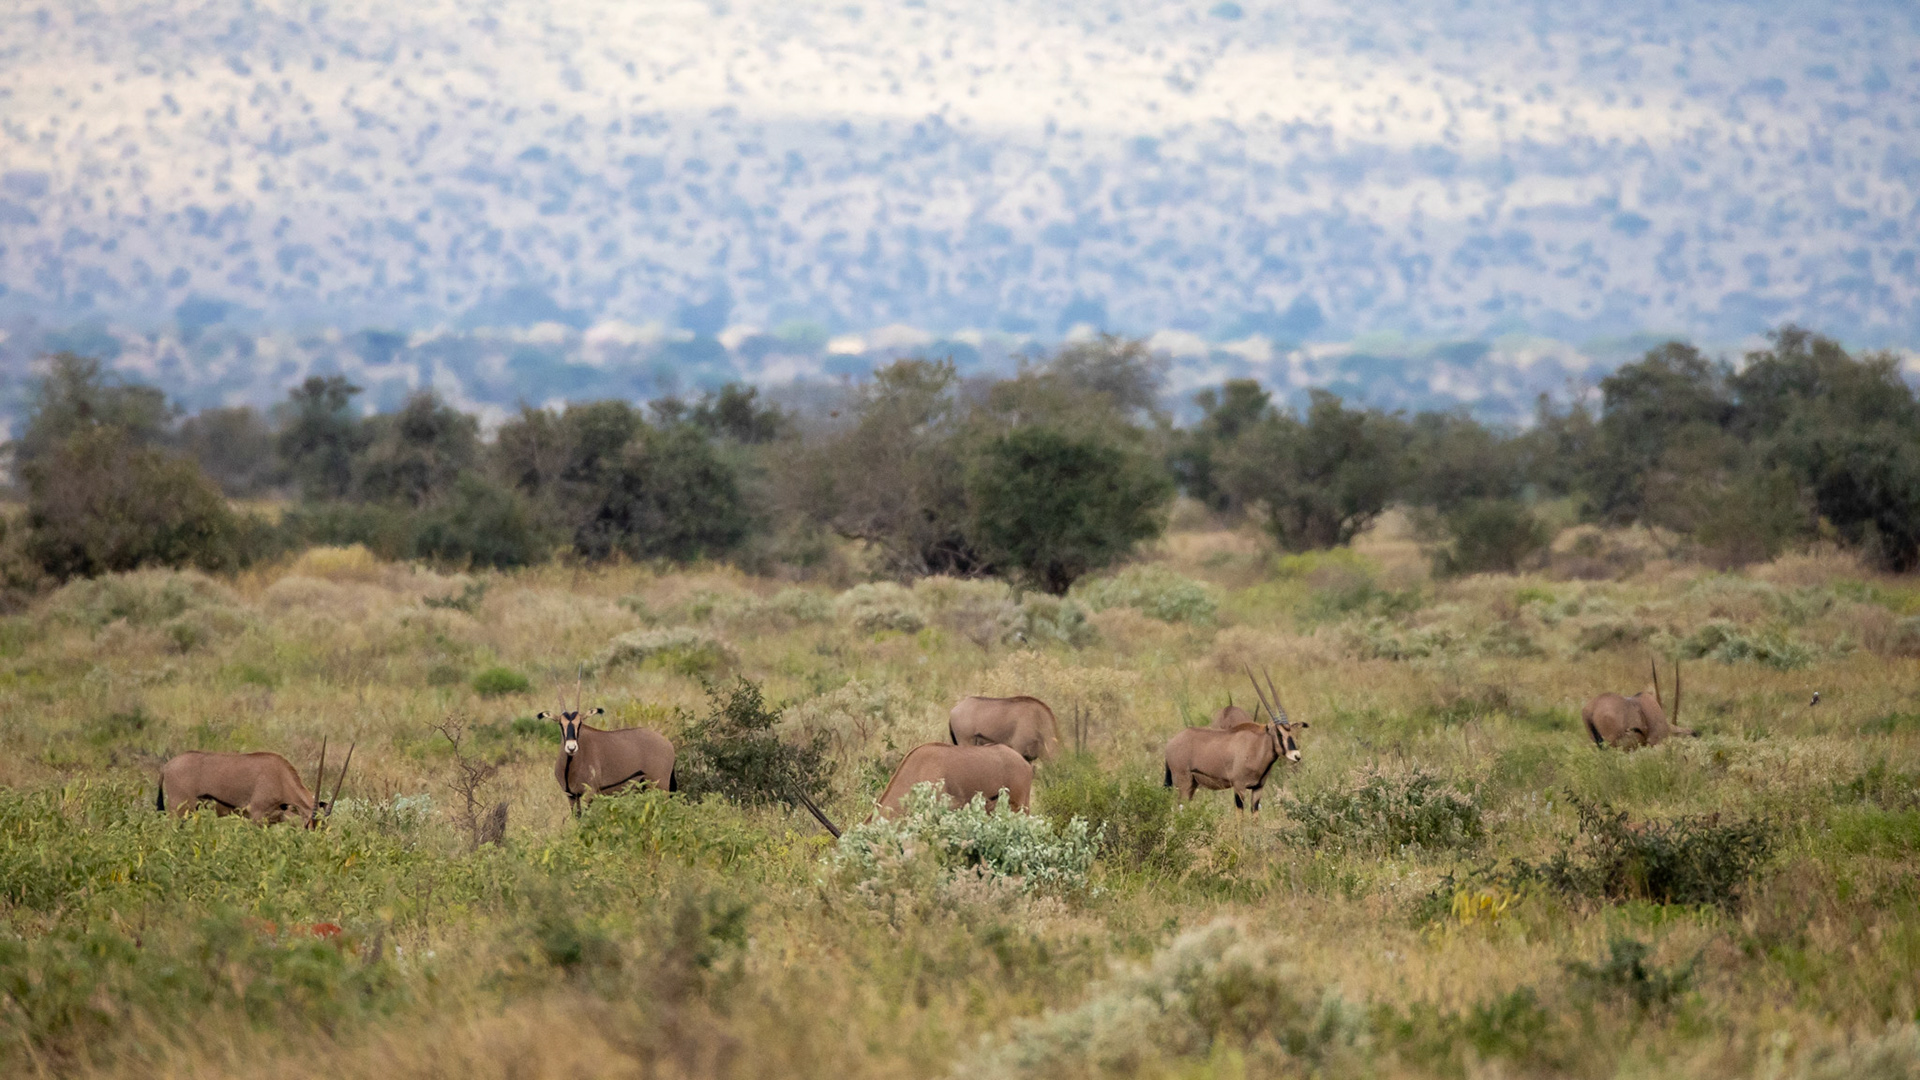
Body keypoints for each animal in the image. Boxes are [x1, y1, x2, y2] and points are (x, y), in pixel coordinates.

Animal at [156, 739, 353, 826]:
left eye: (323, 827)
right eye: (307, 824)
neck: (280, 777)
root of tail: (166, 767)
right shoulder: (257, 815)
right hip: (179, 810)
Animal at [545, 690, 676, 816]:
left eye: (580, 723)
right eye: (561, 724)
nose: (571, 748)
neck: (571, 764)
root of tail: (669, 744)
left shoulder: (589, 793)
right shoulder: (571, 795)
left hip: (660, 787)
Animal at [1164, 667, 1307, 813]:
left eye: (1290, 732)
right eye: (1278, 733)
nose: (1296, 755)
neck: (1257, 746)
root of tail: (1170, 744)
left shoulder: (1258, 788)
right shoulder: (1239, 787)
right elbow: (1240, 815)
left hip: (1192, 784)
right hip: (1184, 784)